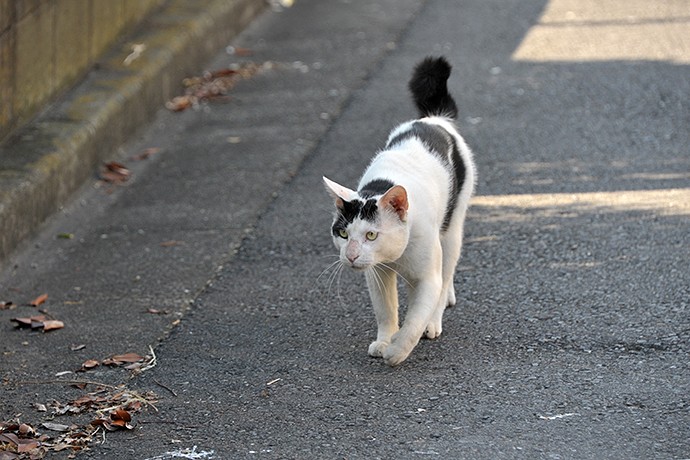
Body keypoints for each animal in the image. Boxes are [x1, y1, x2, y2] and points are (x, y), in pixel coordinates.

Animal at [322, 56, 472, 366]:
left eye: (371, 235)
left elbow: (416, 318)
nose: (351, 255)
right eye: (342, 233)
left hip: (451, 229)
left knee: (446, 272)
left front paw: (397, 350)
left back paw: (435, 319)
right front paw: (384, 340)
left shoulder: (428, 276)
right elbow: (385, 309)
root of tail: (434, 119)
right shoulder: (376, 274)